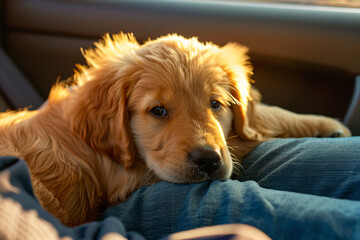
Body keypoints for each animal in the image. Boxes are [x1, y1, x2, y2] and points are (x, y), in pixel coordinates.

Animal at [0, 32, 350, 226]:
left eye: (215, 104)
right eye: (157, 111)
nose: (208, 161)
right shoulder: (132, 175)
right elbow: (262, 120)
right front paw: (329, 124)